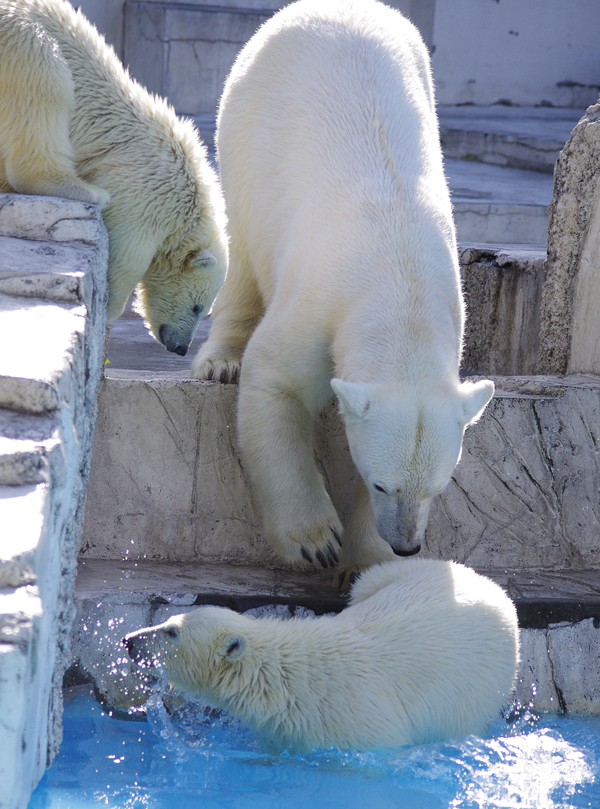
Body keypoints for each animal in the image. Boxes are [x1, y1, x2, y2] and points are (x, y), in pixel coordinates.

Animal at [0, 0, 227, 354]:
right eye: (198, 308)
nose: (181, 348)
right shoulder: (149, 193)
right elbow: (127, 256)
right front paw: (106, 312)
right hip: (17, 33)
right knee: (45, 72)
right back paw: (77, 188)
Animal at [126, 556, 520, 752]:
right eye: (169, 621)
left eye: (171, 631)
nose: (129, 640)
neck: (284, 679)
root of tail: (497, 591)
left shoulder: (361, 728)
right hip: (400, 572)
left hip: (477, 686)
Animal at [193, 0, 496, 576]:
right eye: (382, 483)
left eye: (438, 487)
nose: (408, 544)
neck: (399, 285)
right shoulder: (316, 307)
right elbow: (276, 385)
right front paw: (316, 541)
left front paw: (369, 562)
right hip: (244, 125)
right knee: (241, 254)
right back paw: (219, 360)